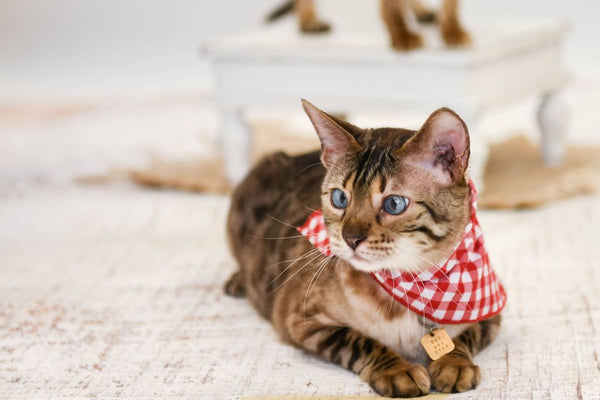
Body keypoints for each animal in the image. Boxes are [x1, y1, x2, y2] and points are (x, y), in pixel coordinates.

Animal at [224, 101, 502, 396]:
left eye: (394, 204)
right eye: (339, 198)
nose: (350, 238)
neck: (412, 284)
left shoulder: (491, 314)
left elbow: (462, 338)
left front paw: (454, 363)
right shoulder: (300, 320)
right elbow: (360, 341)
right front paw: (398, 371)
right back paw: (239, 280)